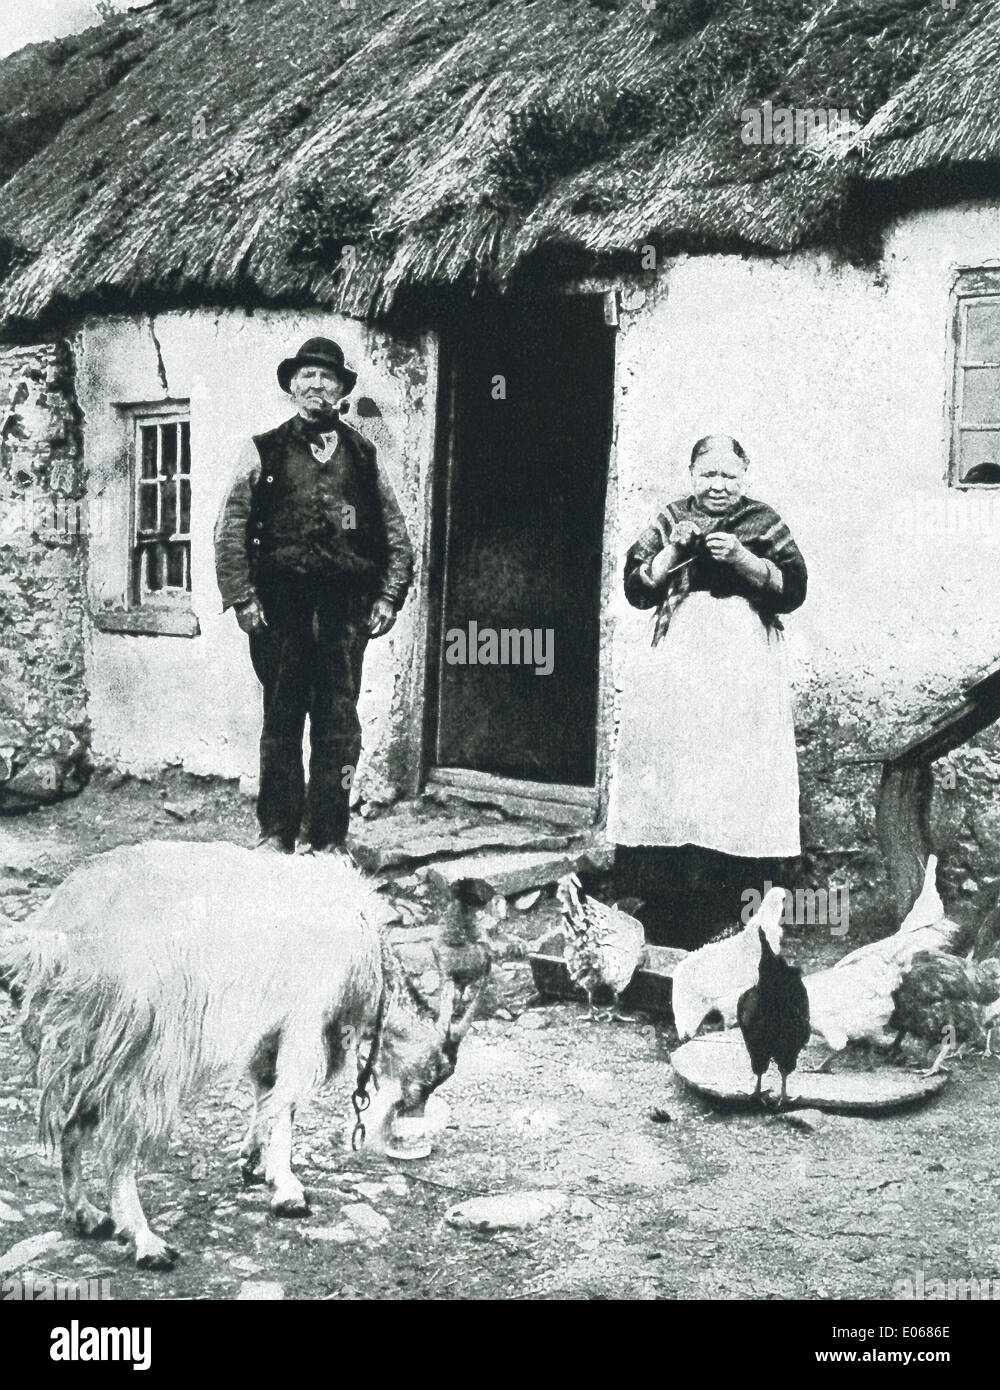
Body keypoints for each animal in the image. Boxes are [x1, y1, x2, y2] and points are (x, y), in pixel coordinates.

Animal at [0, 834, 484, 1273]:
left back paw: (84, 1213)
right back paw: (145, 1241)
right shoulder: (306, 1018)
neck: (368, 956)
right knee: (118, 1144)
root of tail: (59, 934)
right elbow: (286, 1101)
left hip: (84, 1045)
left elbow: (265, 1090)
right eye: (436, 1073)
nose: (410, 1125)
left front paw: (254, 1158)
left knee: (71, 1124)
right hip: (141, 1050)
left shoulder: (270, 1028)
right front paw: (288, 1190)